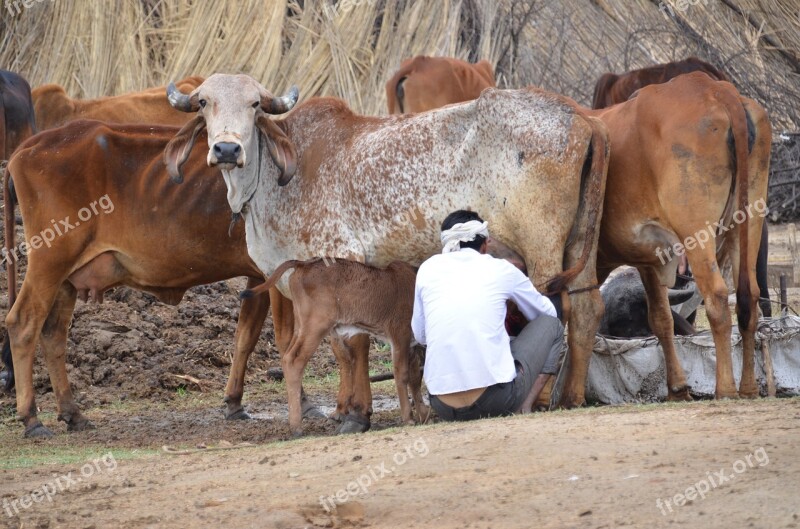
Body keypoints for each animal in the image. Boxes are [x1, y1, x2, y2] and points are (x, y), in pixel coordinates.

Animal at [244, 256, 428, 434]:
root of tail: (304, 263)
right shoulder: (400, 335)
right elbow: (402, 375)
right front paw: (409, 418)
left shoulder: (412, 344)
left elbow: (415, 377)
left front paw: (423, 414)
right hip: (316, 326)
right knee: (294, 361)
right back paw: (296, 427)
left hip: (302, 326)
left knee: (287, 356)